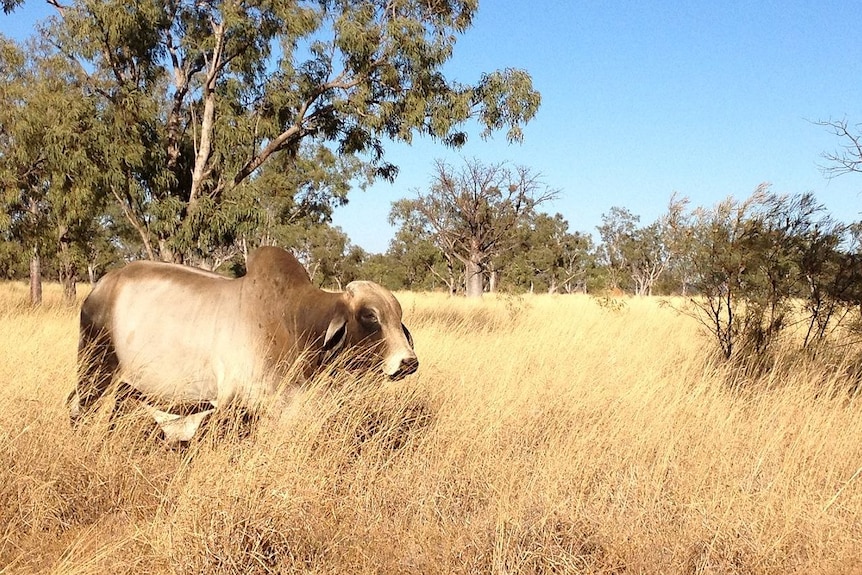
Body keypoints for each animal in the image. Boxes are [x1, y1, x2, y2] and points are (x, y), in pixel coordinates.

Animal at [68, 246, 418, 440]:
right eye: (369, 316)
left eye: (397, 315)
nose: (408, 362)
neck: (295, 323)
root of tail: (101, 285)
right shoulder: (234, 405)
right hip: (95, 370)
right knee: (78, 408)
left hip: (129, 386)